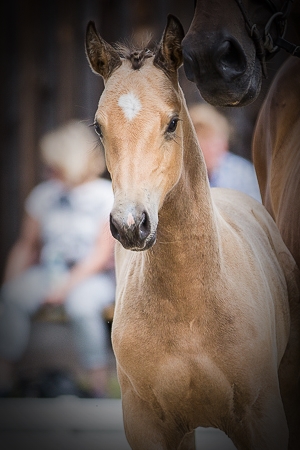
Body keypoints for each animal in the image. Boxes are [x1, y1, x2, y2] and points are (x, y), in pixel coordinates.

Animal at [85, 14, 300, 450]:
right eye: (99, 127)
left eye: (172, 123)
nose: (130, 225)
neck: (190, 307)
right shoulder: (148, 426)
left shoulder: (264, 419)